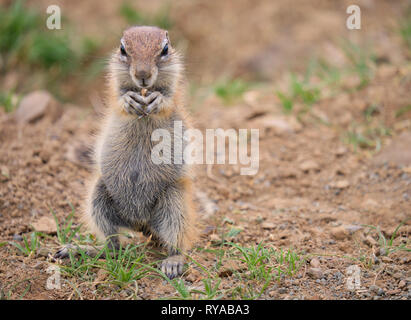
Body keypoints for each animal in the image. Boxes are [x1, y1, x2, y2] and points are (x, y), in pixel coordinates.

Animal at [55, 26, 197, 278]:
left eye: (165, 49)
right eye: (123, 49)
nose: (142, 74)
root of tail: (140, 223)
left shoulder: (174, 93)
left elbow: (168, 100)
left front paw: (157, 99)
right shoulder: (115, 87)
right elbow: (118, 99)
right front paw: (129, 100)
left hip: (175, 202)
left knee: (178, 241)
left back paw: (173, 262)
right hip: (98, 197)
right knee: (113, 246)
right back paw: (81, 249)